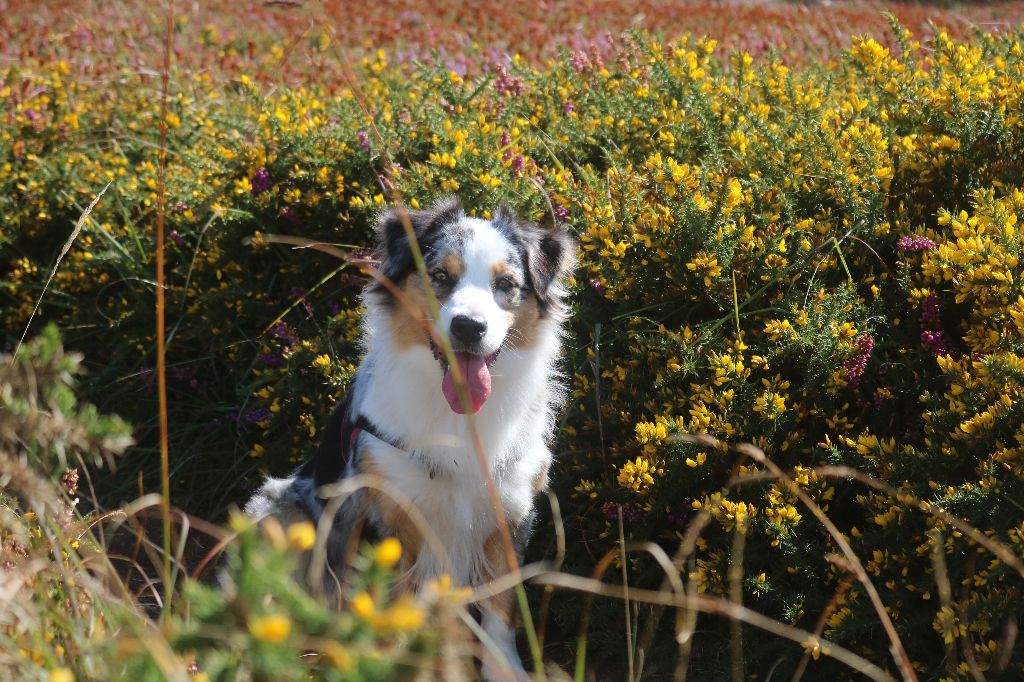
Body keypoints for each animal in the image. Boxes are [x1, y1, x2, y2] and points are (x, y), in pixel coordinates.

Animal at [241, 195, 577, 675]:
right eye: (440, 275)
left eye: (506, 284)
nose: (468, 327)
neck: (458, 420)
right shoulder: (385, 513)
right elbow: (390, 607)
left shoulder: (510, 510)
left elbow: (500, 610)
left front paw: (505, 672)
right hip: (279, 513)